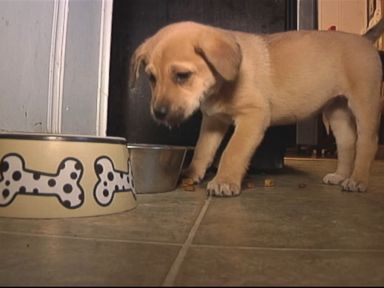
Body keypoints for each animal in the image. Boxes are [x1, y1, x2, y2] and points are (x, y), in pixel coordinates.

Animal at [130, 19, 384, 196]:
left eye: (182, 75)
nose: (159, 113)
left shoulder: (253, 117)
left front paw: (224, 181)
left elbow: (232, 151)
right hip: (336, 111)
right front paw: (192, 173)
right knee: (348, 143)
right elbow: (203, 149)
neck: (222, 84)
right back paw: (340, 176)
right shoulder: (214, 121)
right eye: (151, 78)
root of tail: (364, 39)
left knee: (367, 143)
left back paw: (357, 180)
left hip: (364, 104)